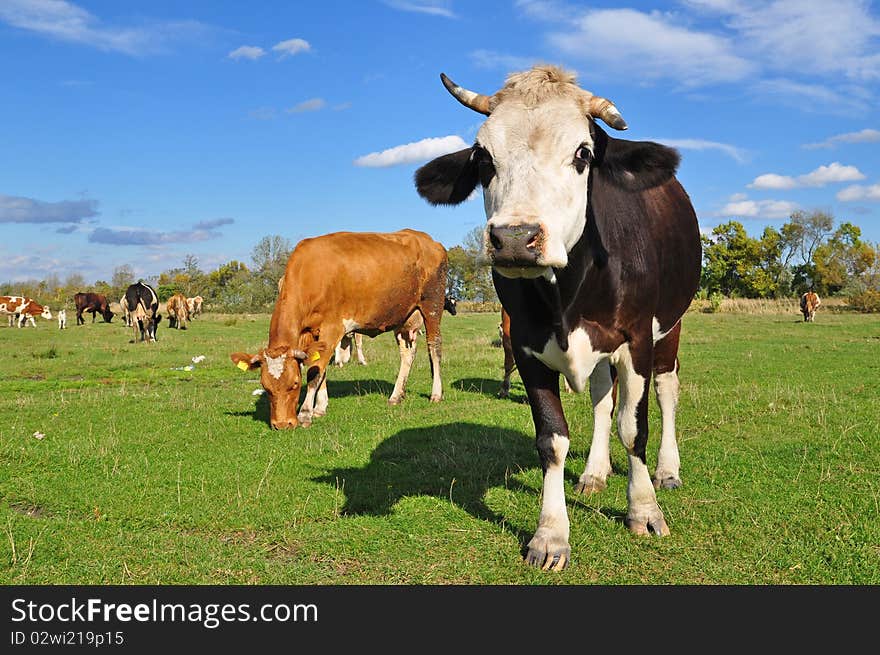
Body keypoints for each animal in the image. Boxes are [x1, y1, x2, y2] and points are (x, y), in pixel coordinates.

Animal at [230, 229, 450, 430]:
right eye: (265, 387)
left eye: (295, 384)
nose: (283, 424)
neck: (309, 273)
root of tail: (428, 240)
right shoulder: (312, 333)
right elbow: (320, 368)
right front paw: (320, 408)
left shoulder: (333, 327)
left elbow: (315, 372)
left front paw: (305, 413)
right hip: (403, 316)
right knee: (407, 353)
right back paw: (396, 395)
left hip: (433, 305)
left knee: (434, 347)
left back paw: (436, 393)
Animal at [414, 65, 700, 568]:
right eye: (483, 159)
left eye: (583, 153)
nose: (515, 237)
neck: (566, 295)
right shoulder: (527, 347)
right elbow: (553, 439)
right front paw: (550, 534)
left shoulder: (637, 339)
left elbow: (634, 428)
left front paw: (644, 511)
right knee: (603, 398)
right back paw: (595, 472)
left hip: (670, 325)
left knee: (666, 390)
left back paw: (667, 470)